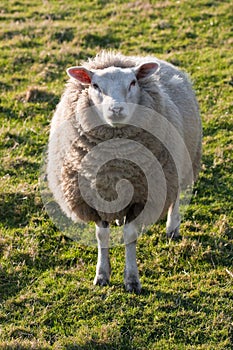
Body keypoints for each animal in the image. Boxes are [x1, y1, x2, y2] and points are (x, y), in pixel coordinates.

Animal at [46, 50, 201, 294]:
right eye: (95, 85)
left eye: (133, 82)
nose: (116, 109)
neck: (115, 166)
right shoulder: (93, 197)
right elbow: (101, 236)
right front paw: (102, 275)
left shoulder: (142, 195)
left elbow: (130, 235)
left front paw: (132, 279)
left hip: (180, 163)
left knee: (176, 197)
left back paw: (172, 228)